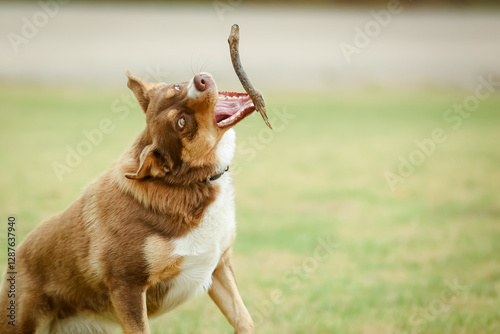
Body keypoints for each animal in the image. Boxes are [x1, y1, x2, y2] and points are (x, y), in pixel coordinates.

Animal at [0, 72, 256, 332]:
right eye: (182, 122)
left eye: (176, 87)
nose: (200, 80)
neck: (187, 182)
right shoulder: (127, 286)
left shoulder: (218, 266)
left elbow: (244, 319)